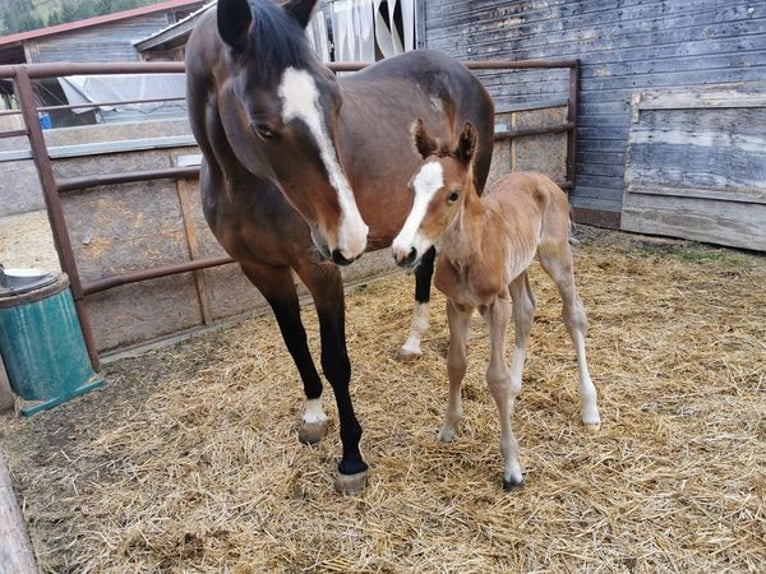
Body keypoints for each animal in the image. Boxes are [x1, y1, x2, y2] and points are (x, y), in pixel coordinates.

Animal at [392, 121, 604, 490]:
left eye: (453, 194)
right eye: (411, 189)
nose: (404, 251)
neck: (468, 251)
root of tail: (543, 178)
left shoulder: (495, 305)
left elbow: (496, 377)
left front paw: (512, 468)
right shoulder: (456, 305)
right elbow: (456, 364)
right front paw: (449, 427)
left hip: (557, 257)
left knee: (574, 315)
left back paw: (589, 409)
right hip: (517, 271)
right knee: (527, 311)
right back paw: (518, 394)